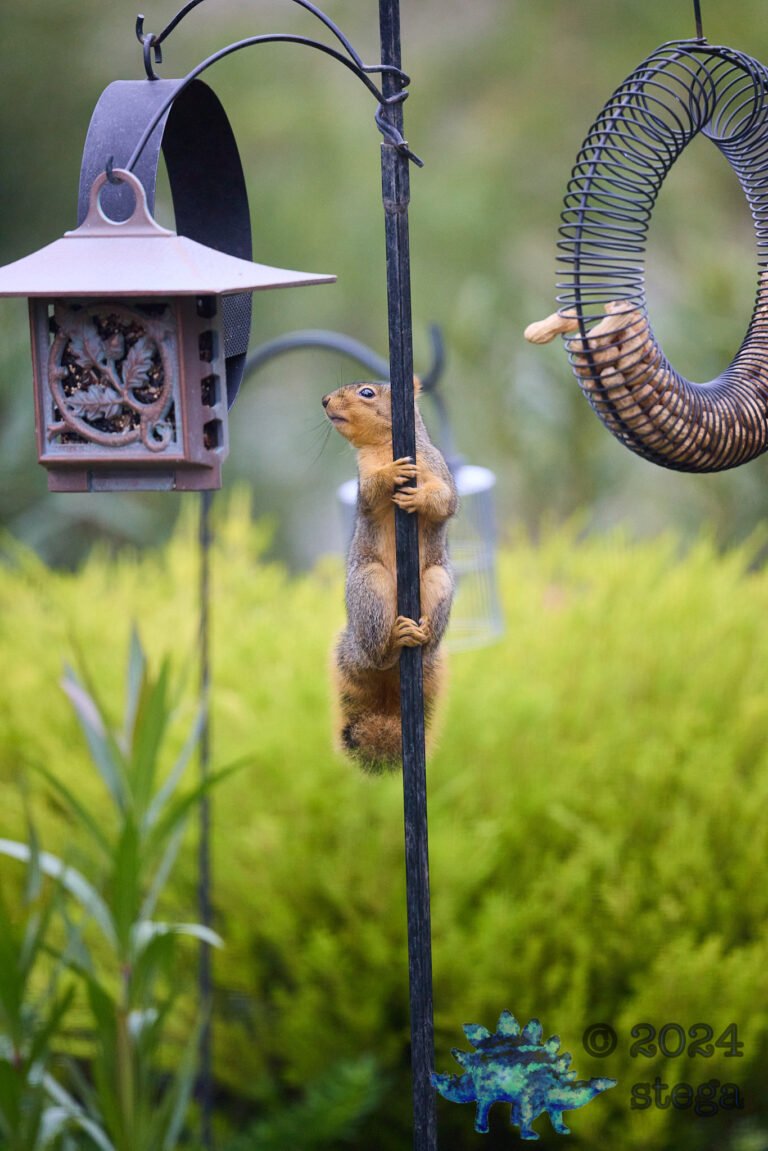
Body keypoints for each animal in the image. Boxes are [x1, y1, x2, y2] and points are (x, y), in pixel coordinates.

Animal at [322, 379, 458, 773]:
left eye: (367, 392)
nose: (325, 401)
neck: (385, 448)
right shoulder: (362, 480)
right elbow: (370, 493)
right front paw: (388, 477)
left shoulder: (435, 466)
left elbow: (445, 500)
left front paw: (421, 500)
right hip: (370, 585)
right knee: (378, 653)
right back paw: (394, 640)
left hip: (437, 582)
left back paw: (420, 635)